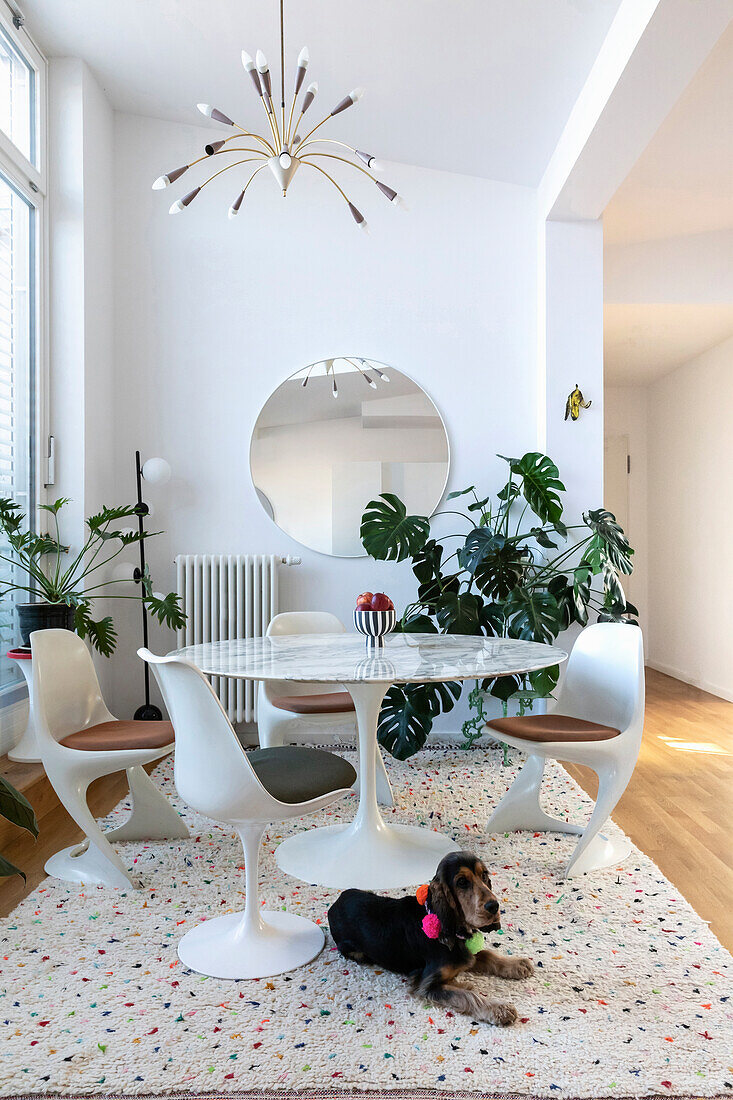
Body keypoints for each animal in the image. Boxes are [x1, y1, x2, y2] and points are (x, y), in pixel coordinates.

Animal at [325, 849, 530, 1020]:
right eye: (462, 882)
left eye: (484, 875)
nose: (494, 906)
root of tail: (335, 903)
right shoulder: (426, 984)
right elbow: (468, 996)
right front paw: (498, 1008)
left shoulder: (467, 952)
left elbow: (487, 954)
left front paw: (517, 964)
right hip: (354, 951)